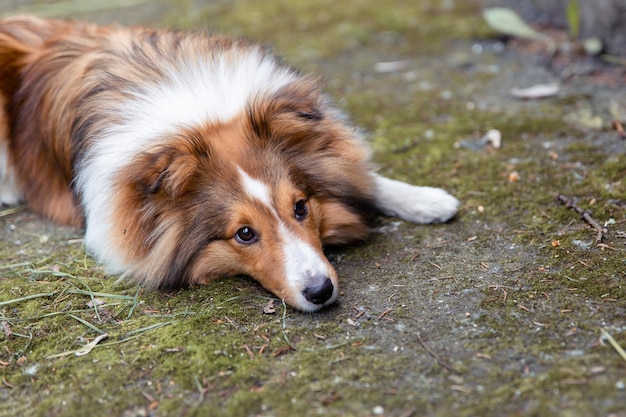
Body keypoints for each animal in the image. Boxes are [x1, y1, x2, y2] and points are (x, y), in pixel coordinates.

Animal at [0, 16, 458, 312]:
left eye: (301, 207)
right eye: (244, 234)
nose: (320, 291)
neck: (192, 120)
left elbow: (366, 176)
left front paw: (426, 200)